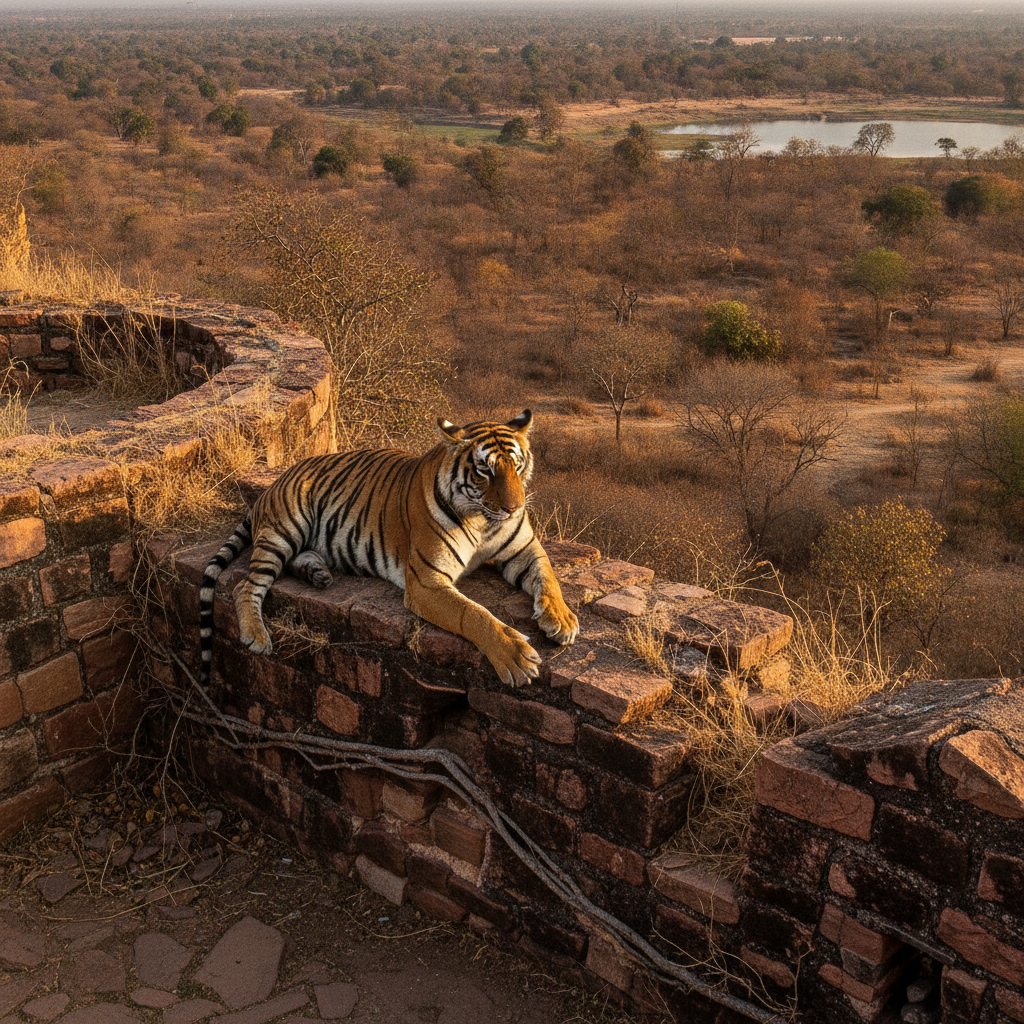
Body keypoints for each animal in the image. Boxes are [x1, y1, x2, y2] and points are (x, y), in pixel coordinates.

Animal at [198, 409, 579, 689]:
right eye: (485, 470)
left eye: (517, 466)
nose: (514, 508)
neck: (483, 522)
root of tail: (273, 482)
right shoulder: (427, 581)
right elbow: (473, 614)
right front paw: (516, 656)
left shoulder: (526, 549)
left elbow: (548, 578)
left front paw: (561, 619)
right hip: (284, 529)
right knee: (245, 586)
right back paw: (256, 636)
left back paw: (317, 573)